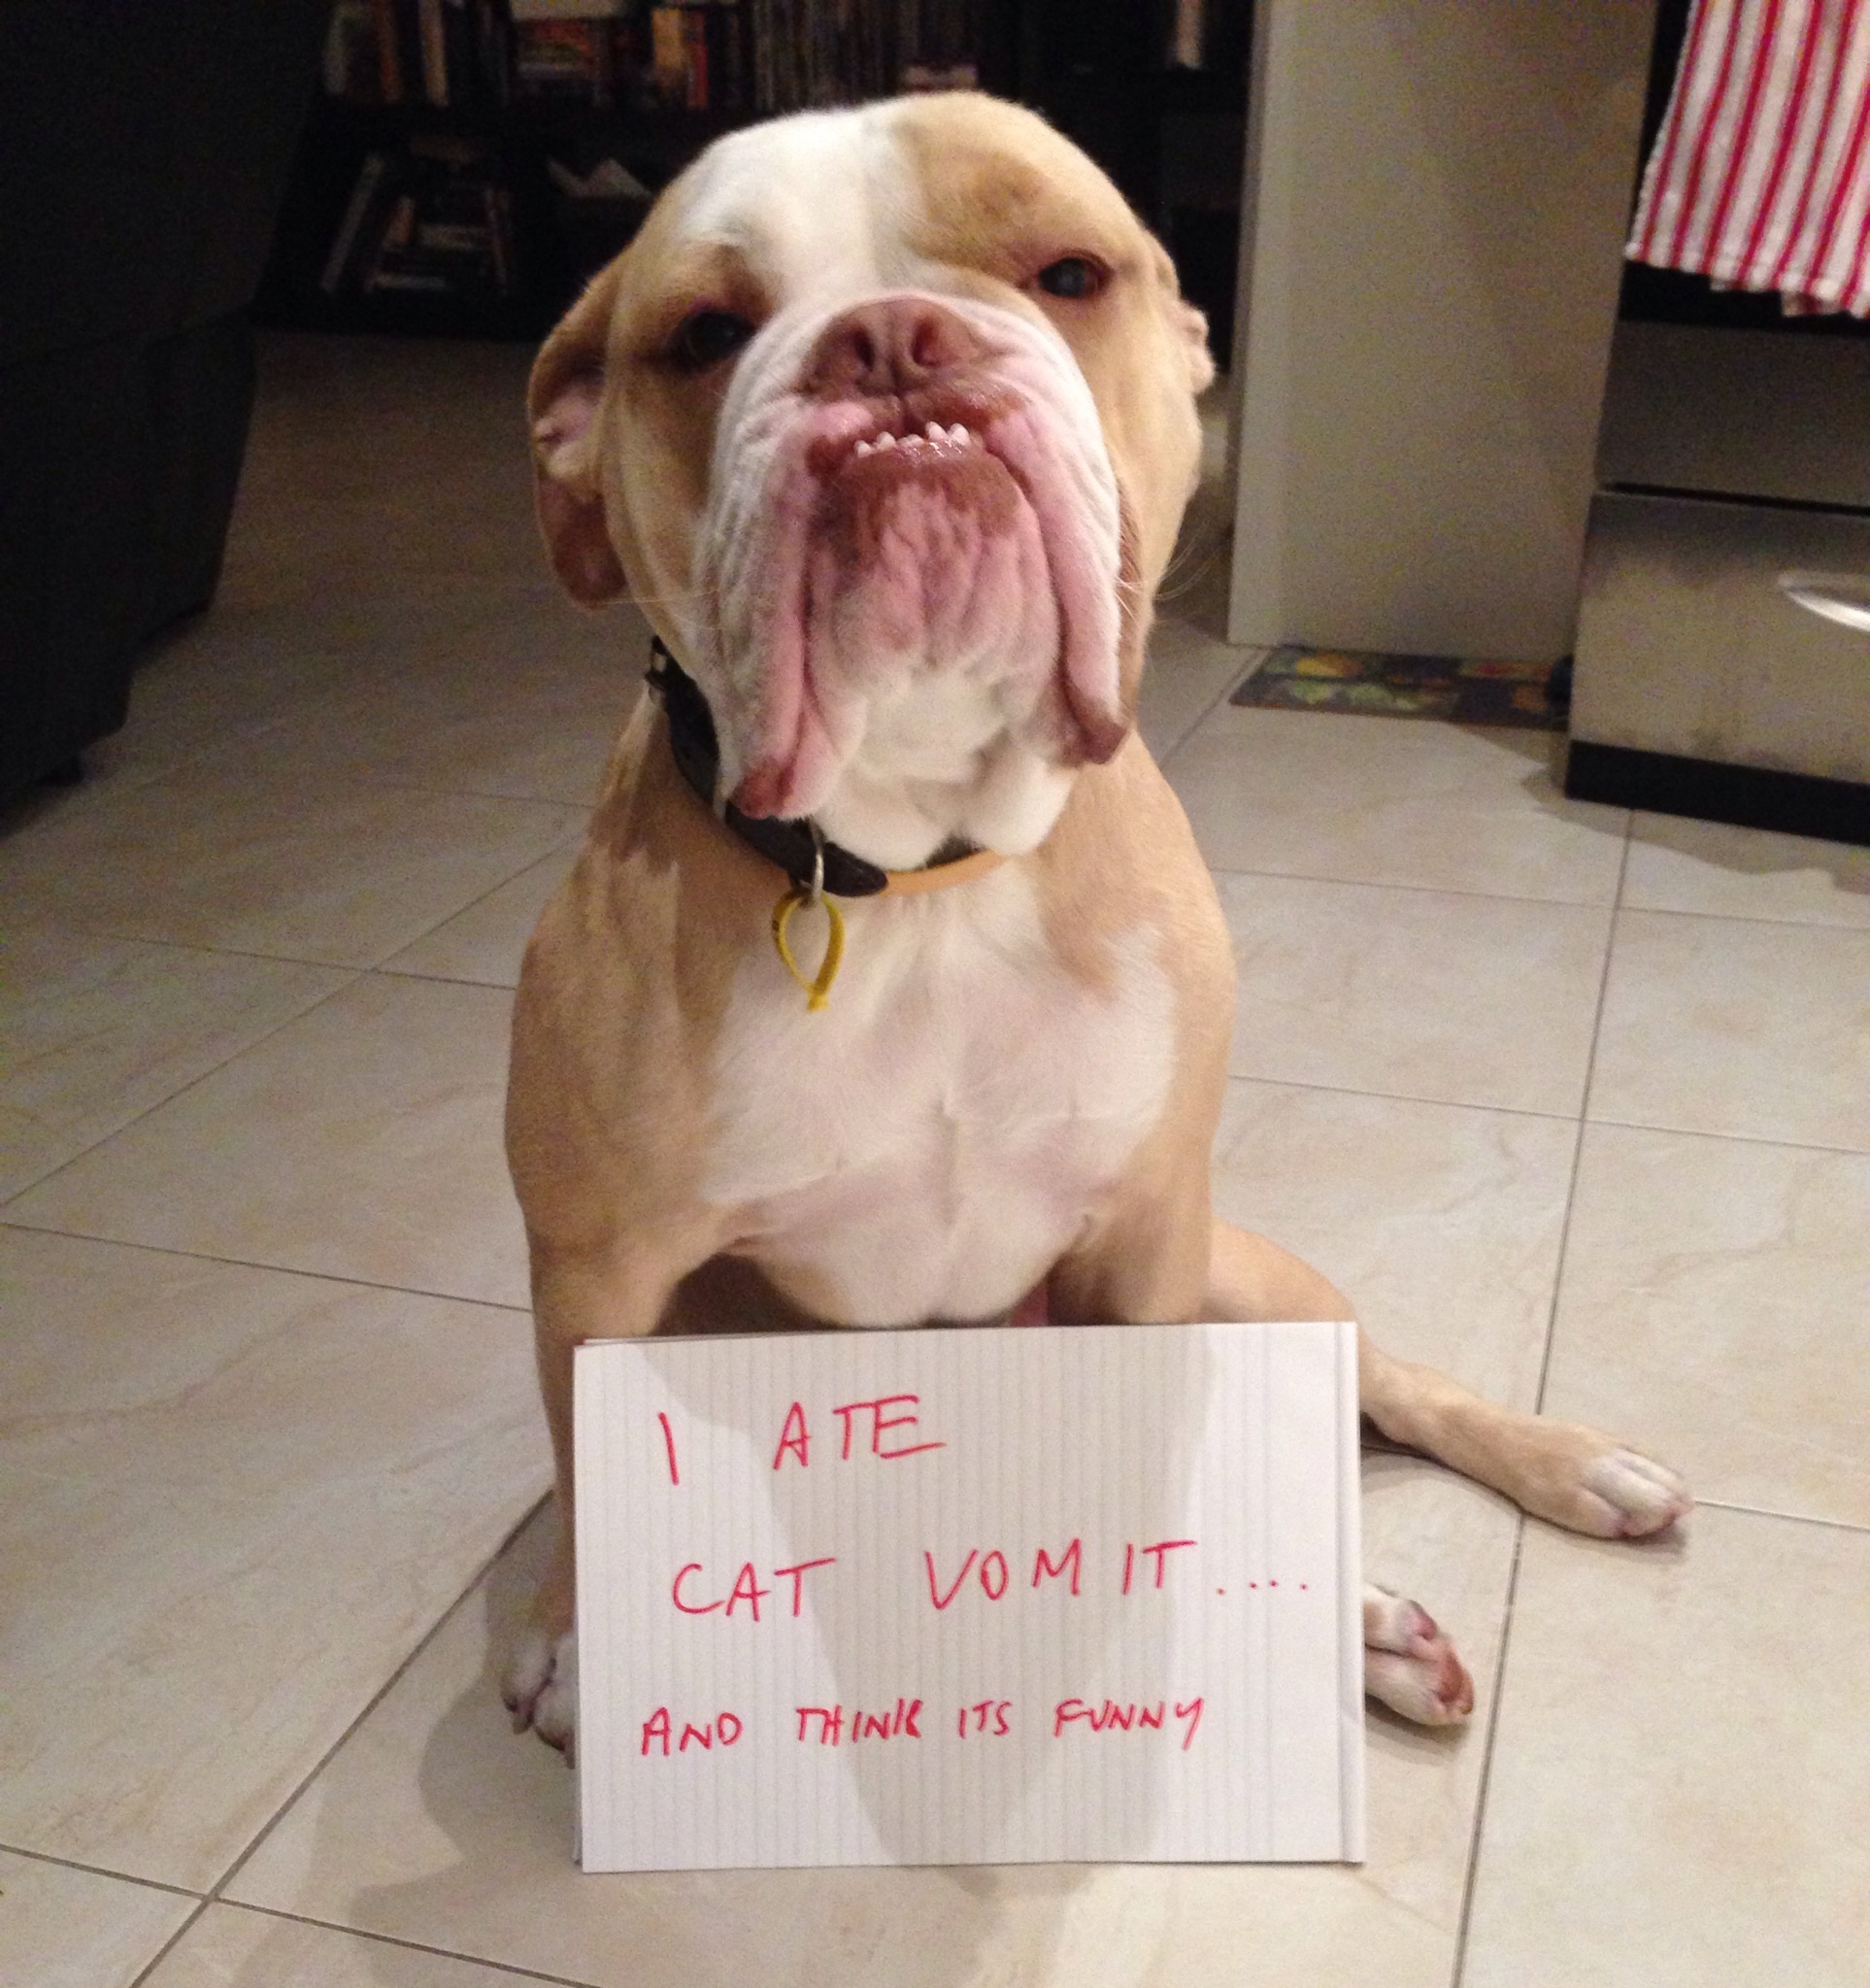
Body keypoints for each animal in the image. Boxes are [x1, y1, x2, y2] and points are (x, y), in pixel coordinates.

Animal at [500, 96, 1692, 1757]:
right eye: (702, 334)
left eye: (1068, 270)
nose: (890, 340)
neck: (926, 869)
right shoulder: (601, 1274)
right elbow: (575, 1441)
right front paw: (575, 1633)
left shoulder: (1145, 1224)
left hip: (1240, 1265)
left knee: (1388, 1381)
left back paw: (1549, 1479)